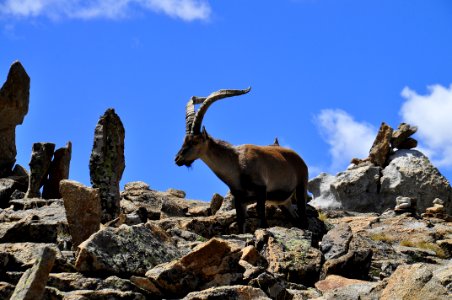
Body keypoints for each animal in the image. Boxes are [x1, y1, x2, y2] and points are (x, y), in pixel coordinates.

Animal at [175, 88, 308, 233]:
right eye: (184, 140)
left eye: (194, 141)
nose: (177, 159)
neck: (236, 164)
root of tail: (299, 159)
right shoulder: (240, 200)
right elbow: (240, 224)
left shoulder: (261, 191)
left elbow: (262, 218)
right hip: (284, 202)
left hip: (301, 188)